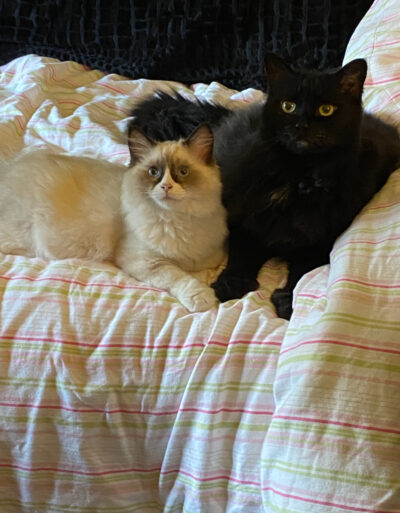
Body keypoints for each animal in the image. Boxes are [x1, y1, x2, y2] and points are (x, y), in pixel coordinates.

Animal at [0, 123, 228, 312]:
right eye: (154, 172)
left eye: (183, 172)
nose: (166, 187)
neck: (178, 219)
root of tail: (8, 167)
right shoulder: (144, 260)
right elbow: (178, 275)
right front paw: (203, 296)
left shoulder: (210, 255)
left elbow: (206, 268)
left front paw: (209, 281)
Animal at [129, 53, 400, 319]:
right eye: (288, 106)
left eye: (326, 110)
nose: (302, 125)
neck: (297, 176)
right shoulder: (247, 219)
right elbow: (241, 257)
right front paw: (231, 284)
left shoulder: (320, 239)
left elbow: (302, 274)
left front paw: (288, 300)